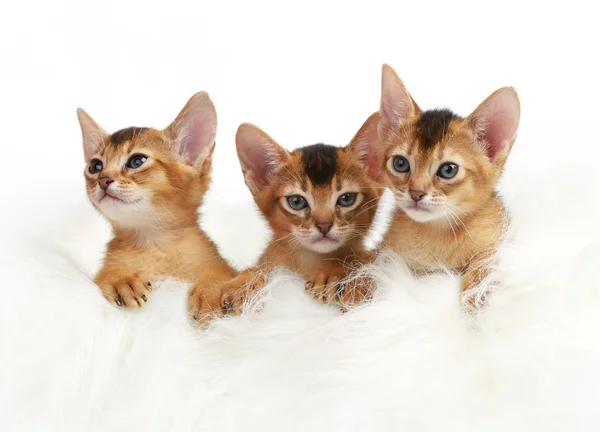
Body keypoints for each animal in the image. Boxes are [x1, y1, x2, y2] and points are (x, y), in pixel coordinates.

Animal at [79, 93, 237, 308]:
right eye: (95, 166)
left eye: (137, 161)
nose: (103, 180)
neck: (154, 242)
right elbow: (104, 273)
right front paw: (120, 279)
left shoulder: (219, 263)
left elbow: (220, 271)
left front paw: (210, 291)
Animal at [190, 118, 382, 320]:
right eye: (296, 201)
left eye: (347, 199)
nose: (324, 225)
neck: (310, 261)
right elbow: (252, 269)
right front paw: (240, 285)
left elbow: (364, 264)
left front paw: (335, 275)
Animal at [370, 63, 520, 308]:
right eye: (400, 163)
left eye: (448, 170)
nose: (416, 193)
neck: (438, 232)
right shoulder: (385, 251)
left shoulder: (501, 241)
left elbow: (484, 264)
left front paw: (474, 302)